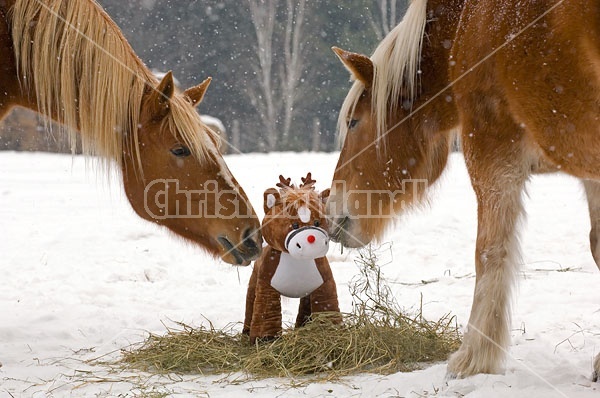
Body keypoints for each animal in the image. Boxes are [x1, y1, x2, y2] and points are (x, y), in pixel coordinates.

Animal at [328, 0, 600, 380]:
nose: (330, 214)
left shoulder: (492, 150)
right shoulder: (584, 162)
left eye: (354, 122)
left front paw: (471, 357)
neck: (463, 27)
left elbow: (489, 251)